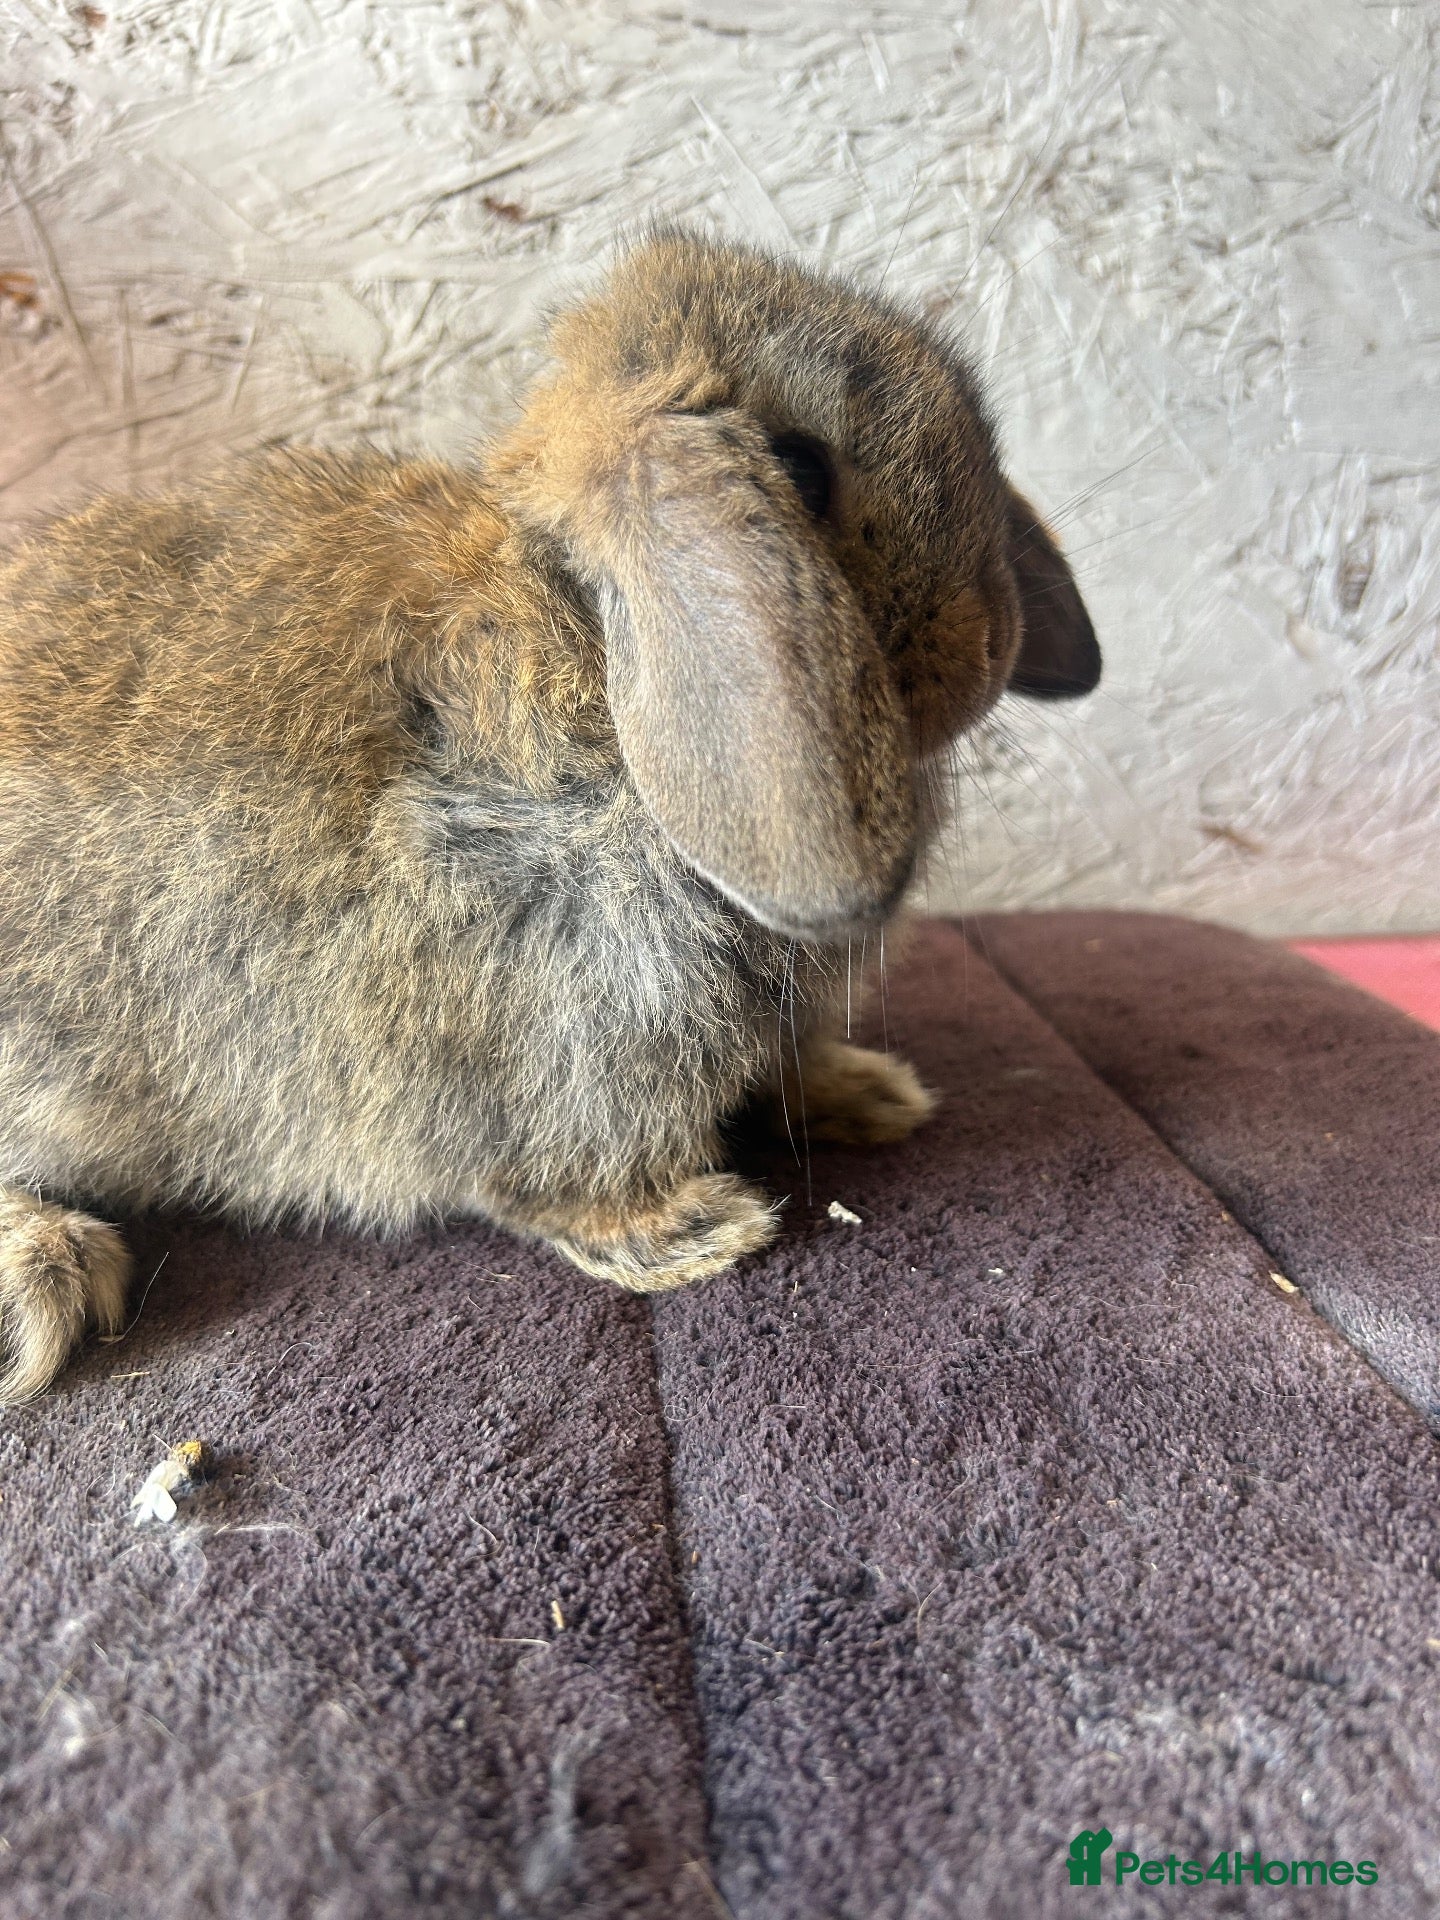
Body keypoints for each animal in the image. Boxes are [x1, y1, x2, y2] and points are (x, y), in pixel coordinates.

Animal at [0, 229, 1099, 1403]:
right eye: (800, 471)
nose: (991, 650)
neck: (592, 637)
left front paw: (872, 1096)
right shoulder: (538, 1008)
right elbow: (546, 1171)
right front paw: (692, 1232)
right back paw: (48, 1281)